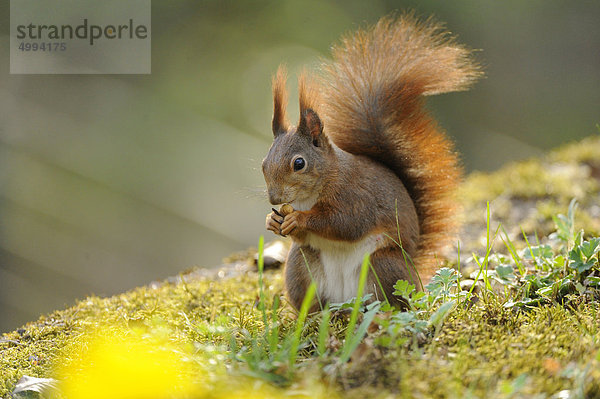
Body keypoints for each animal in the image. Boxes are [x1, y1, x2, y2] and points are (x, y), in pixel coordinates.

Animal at [260, 14, 480, 310]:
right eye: (264, 163)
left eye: (299, 164)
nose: (274, 199)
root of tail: (345, 301)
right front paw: (273, 222)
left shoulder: (356, 196)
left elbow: (346, 223)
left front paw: (300, 219)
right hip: (301, 265)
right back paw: (314, 314)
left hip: (383, 265)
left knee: (392, 302)